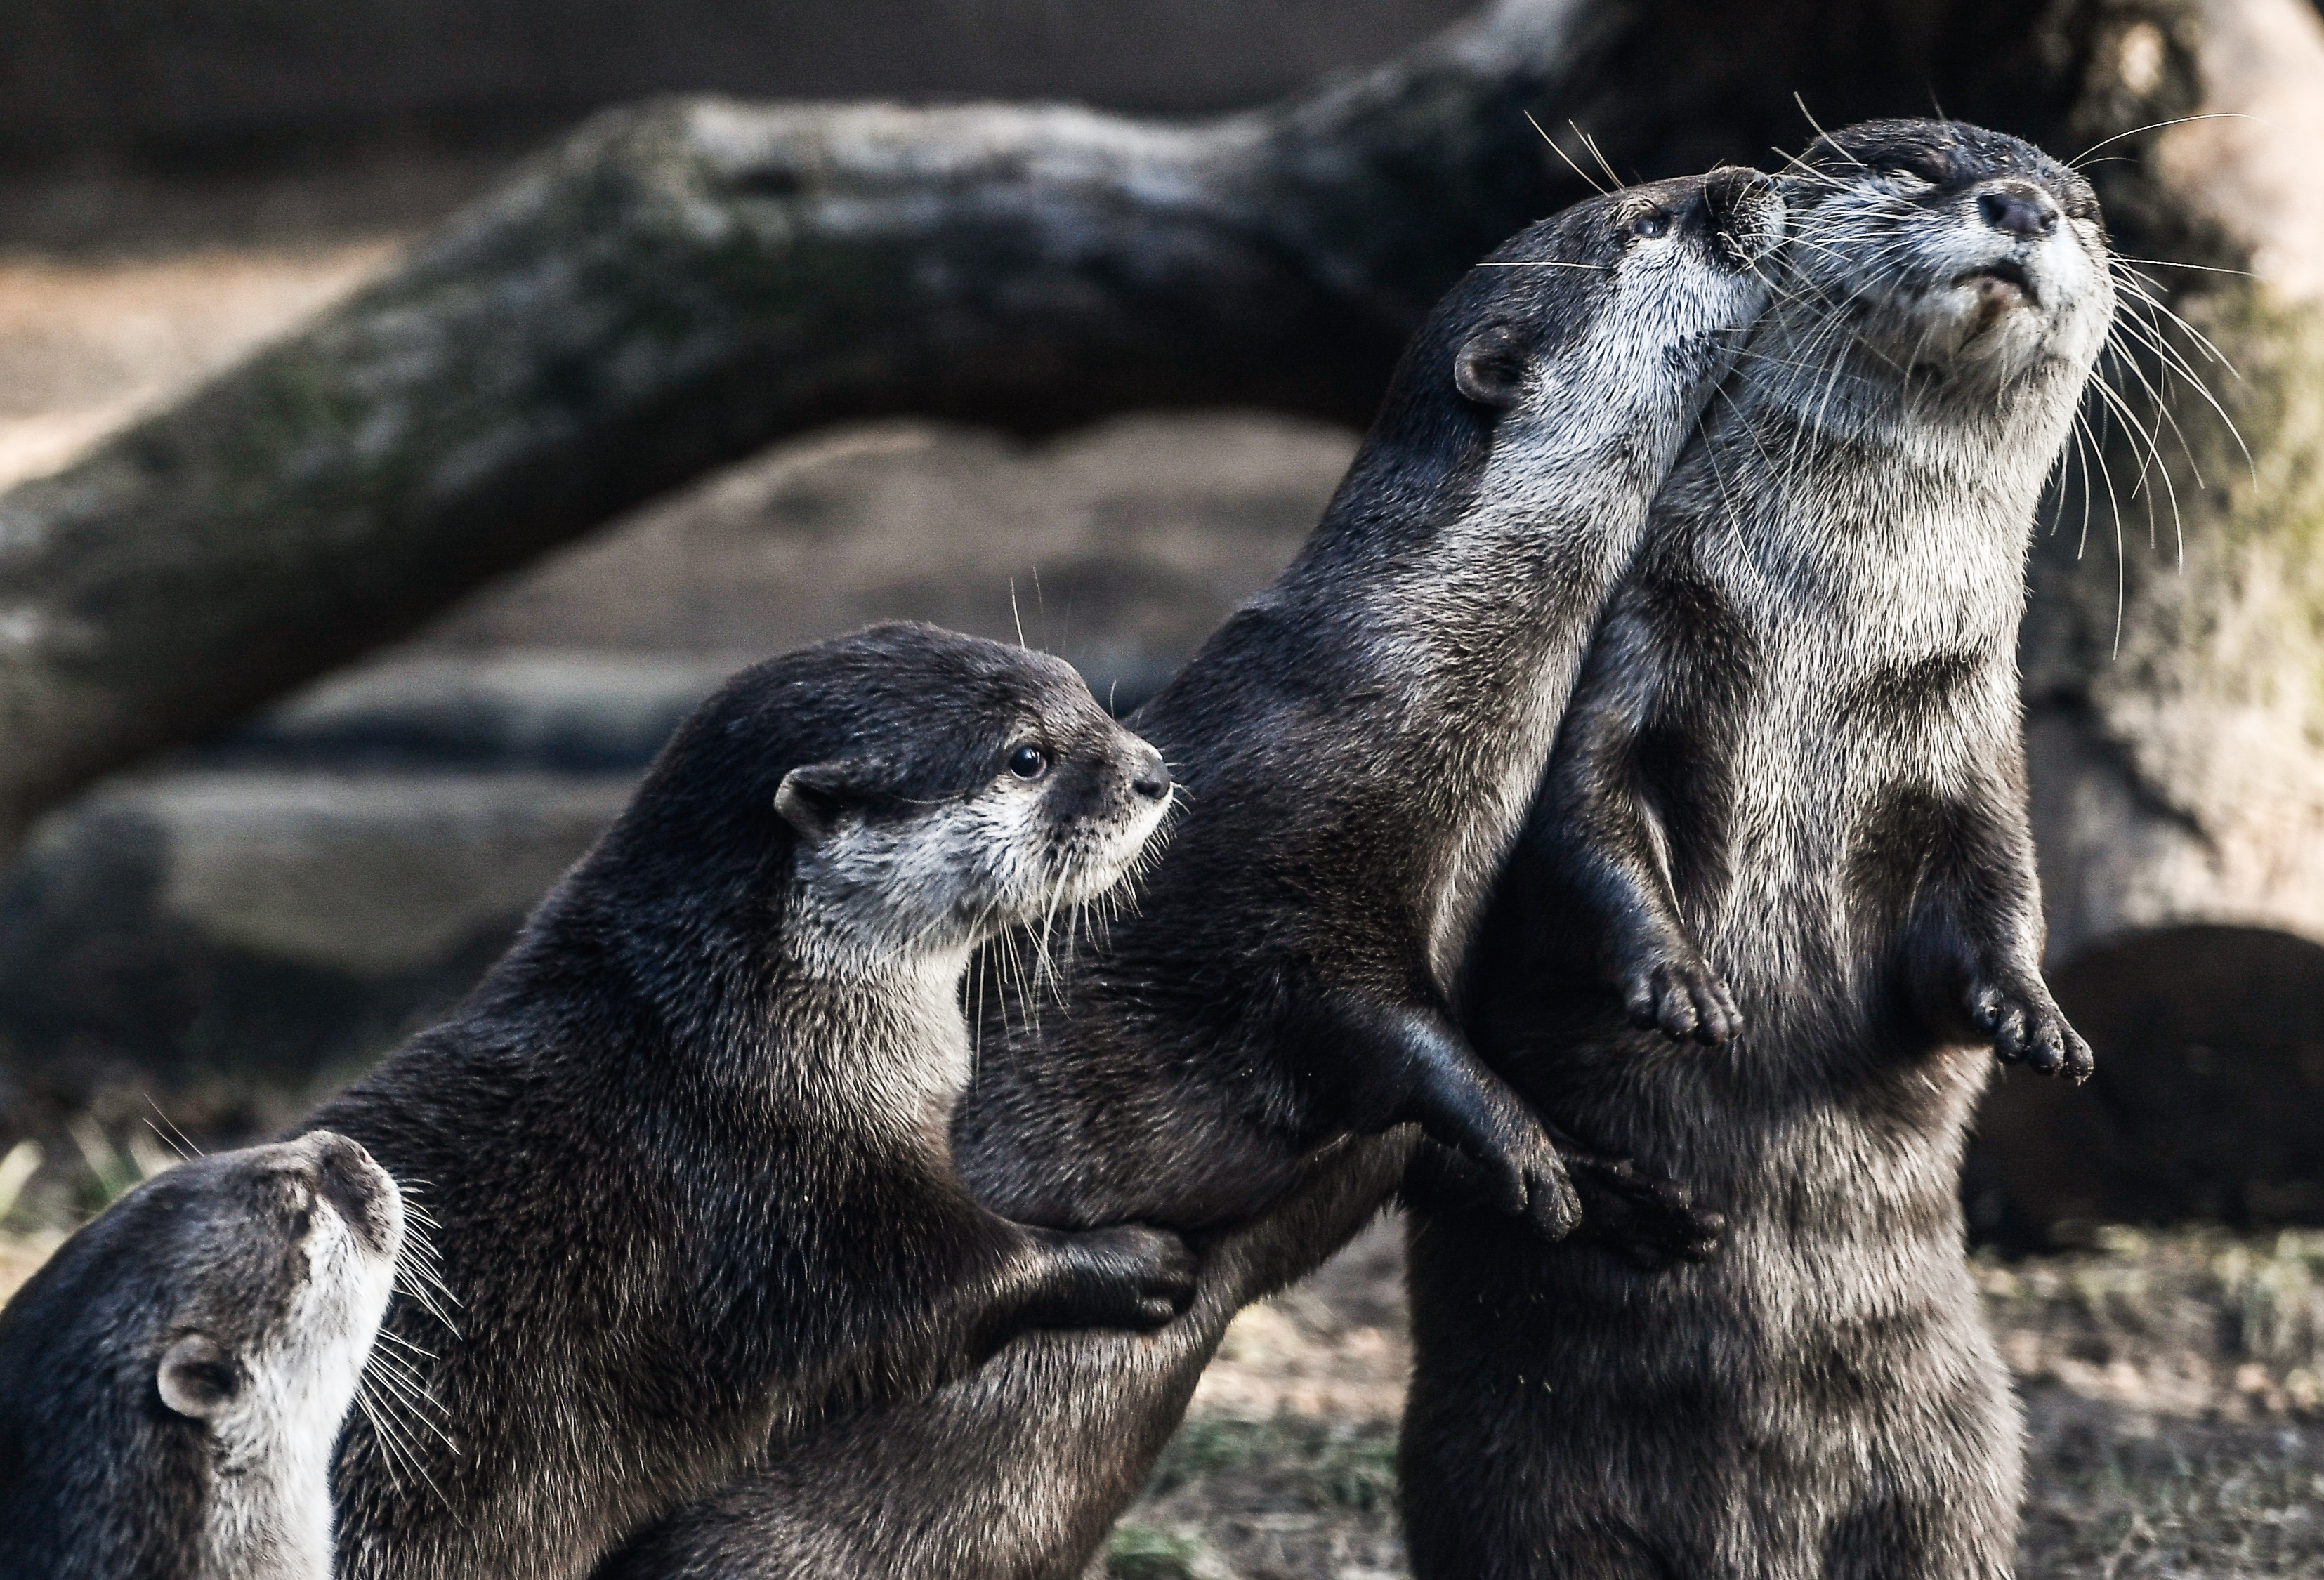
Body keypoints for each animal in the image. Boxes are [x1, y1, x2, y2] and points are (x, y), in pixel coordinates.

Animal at [306, 627, 1199, 1580]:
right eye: (1028, 756)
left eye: (1079, 689)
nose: (1152, 772)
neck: (737, 1035)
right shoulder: (786, 1205)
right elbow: (956, 1291)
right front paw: (1134, 1261)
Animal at [595, 164, 1775, 1580]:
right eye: (1641, 223)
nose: (1742, 183)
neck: (1405, 669)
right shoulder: (1276, 867)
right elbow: (1368, 1018)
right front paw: (1527, 1143)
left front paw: (1629, 1190)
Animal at [1385, 117, 2119, 1570]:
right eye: (1915, 162)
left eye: (2079, 207)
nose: (2018, 204)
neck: (1831, 641)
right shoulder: (1642, 650)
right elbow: (1581, 826)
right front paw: (1673, 980)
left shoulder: (1966, 734)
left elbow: (1995, 892)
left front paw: (2033, 1020)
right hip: (1505, 1484)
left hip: (1956, 1473)